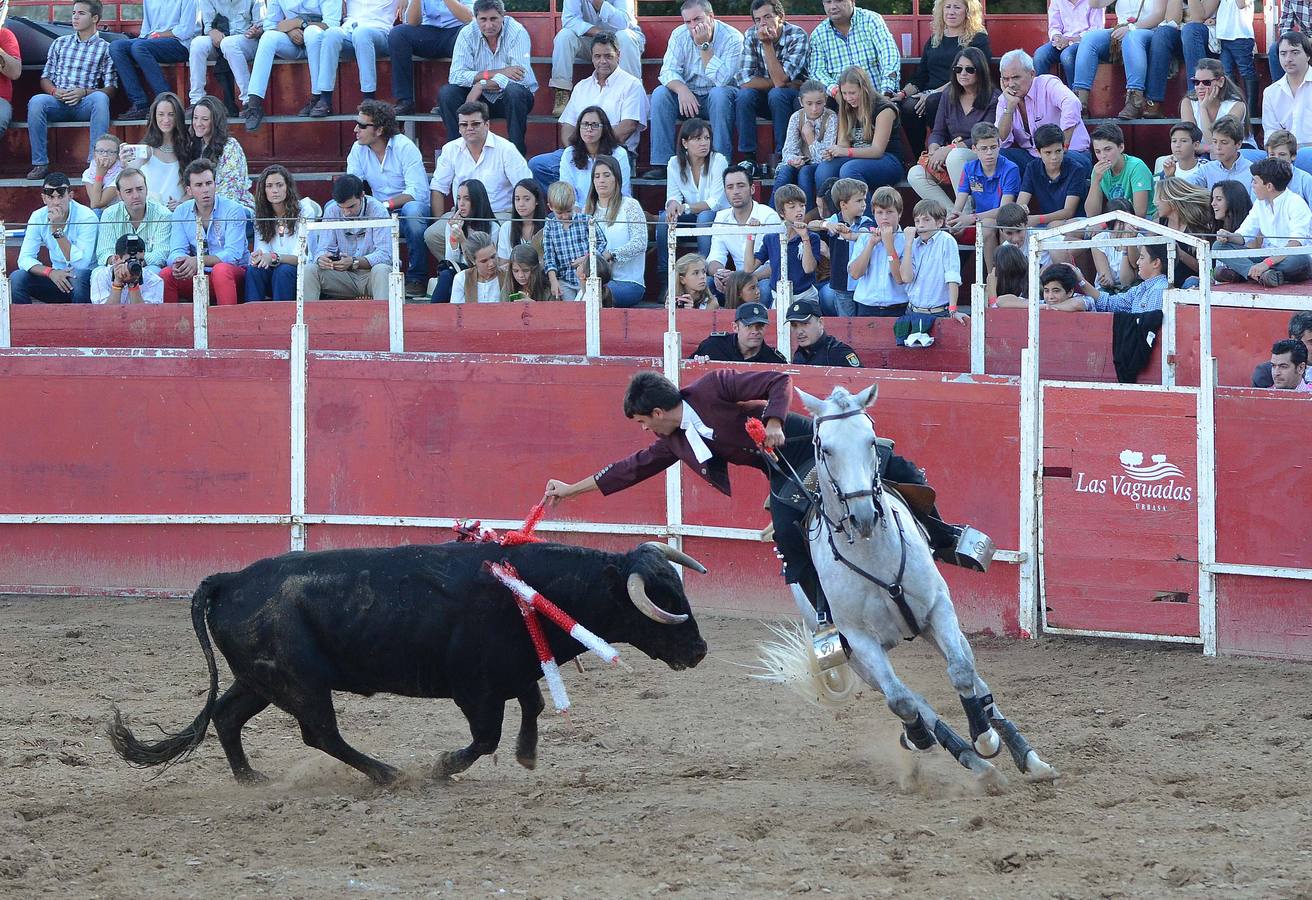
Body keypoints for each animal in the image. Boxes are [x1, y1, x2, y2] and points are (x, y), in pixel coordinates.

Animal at [110, 540, 708, 787]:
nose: (699, 650)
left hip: (260, 679)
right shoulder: (475, 689)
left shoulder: (511, 676)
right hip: (300, 682)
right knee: (320, 733)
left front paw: (528, 755)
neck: (529, 589)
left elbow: (533, 705)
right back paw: (389, 774)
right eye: (658, 600)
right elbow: (486, 736)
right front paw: (443, 766)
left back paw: (251, 780)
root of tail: (229, 579)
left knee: (228, 715)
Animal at [760, 383, 1054, 787]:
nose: (863, 515)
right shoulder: (859, 641)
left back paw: (1023, 755)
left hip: (933, 630)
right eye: (827, 448)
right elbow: (901, 700)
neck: (874, 554)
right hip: (859, 660)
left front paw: (985, 737)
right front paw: (922, 737)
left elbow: (961, 673)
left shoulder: (938, 609)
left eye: (870, 441)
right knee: (914, 700)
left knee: (973, 676)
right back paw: (966, 759)